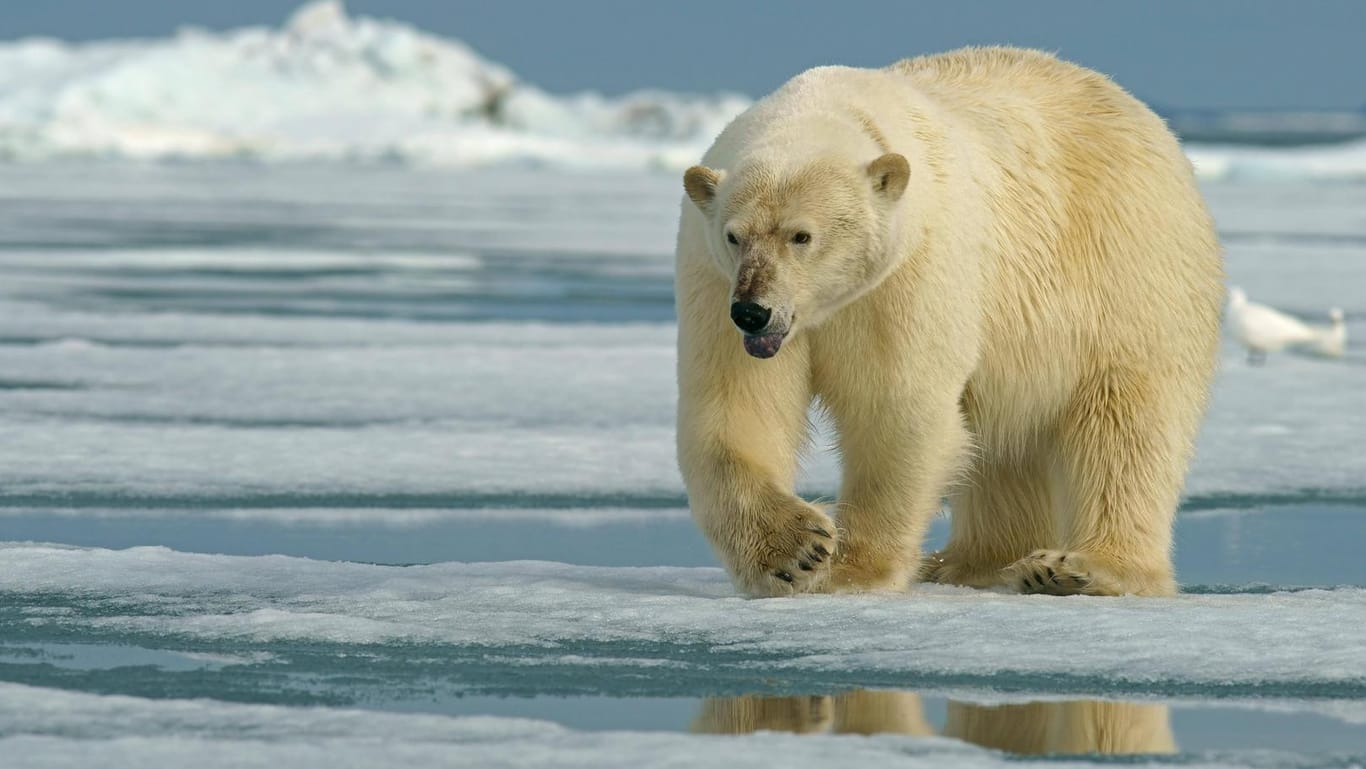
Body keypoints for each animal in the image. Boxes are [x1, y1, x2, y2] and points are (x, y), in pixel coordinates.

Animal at [677, 48, 1223, 598]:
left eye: (801, 235)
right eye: (734, 235)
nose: (753, 311)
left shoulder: (909, 273)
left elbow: (896, 405)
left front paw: (852, 569)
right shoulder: (712, 280)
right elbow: (734, 406)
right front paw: (793, 551)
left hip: (1127, 273)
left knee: (1128, 424)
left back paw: (1080, 568)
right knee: (1006, 446)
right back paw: (972, 563)